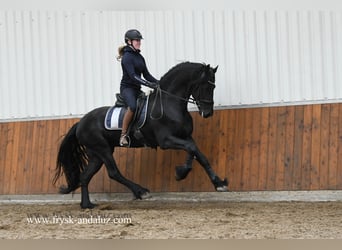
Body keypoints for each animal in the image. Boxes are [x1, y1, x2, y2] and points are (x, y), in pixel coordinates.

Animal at [53, 61, 228, 208]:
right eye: (205, 86)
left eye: (213, 87)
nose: (208, 113)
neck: (170, 103)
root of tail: (80, 123)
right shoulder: (166, 141)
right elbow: (191, 148)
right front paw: (182, 172)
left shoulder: (185, 136)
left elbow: (197, 153)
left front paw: (218, 183)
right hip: (102, 149)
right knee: (113, 172)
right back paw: (141, 192)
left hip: (96, 154)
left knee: (85, 177)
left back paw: (87, 205)